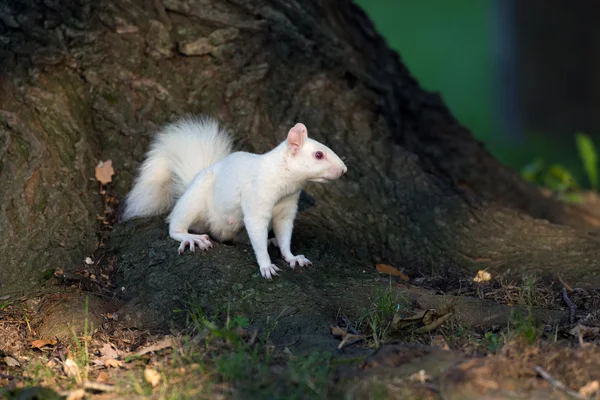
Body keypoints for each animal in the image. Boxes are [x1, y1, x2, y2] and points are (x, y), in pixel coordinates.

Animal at [122, 116, 346, 278]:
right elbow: (256, 227)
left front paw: (291, 257)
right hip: (194, 200)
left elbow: (284, 235)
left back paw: (269, 240)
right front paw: (266, 265)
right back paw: (191, 237)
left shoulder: (286, 208)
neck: (286, 182)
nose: (344, 170)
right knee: (175, 226)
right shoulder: (257, 197)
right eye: (318, 155)